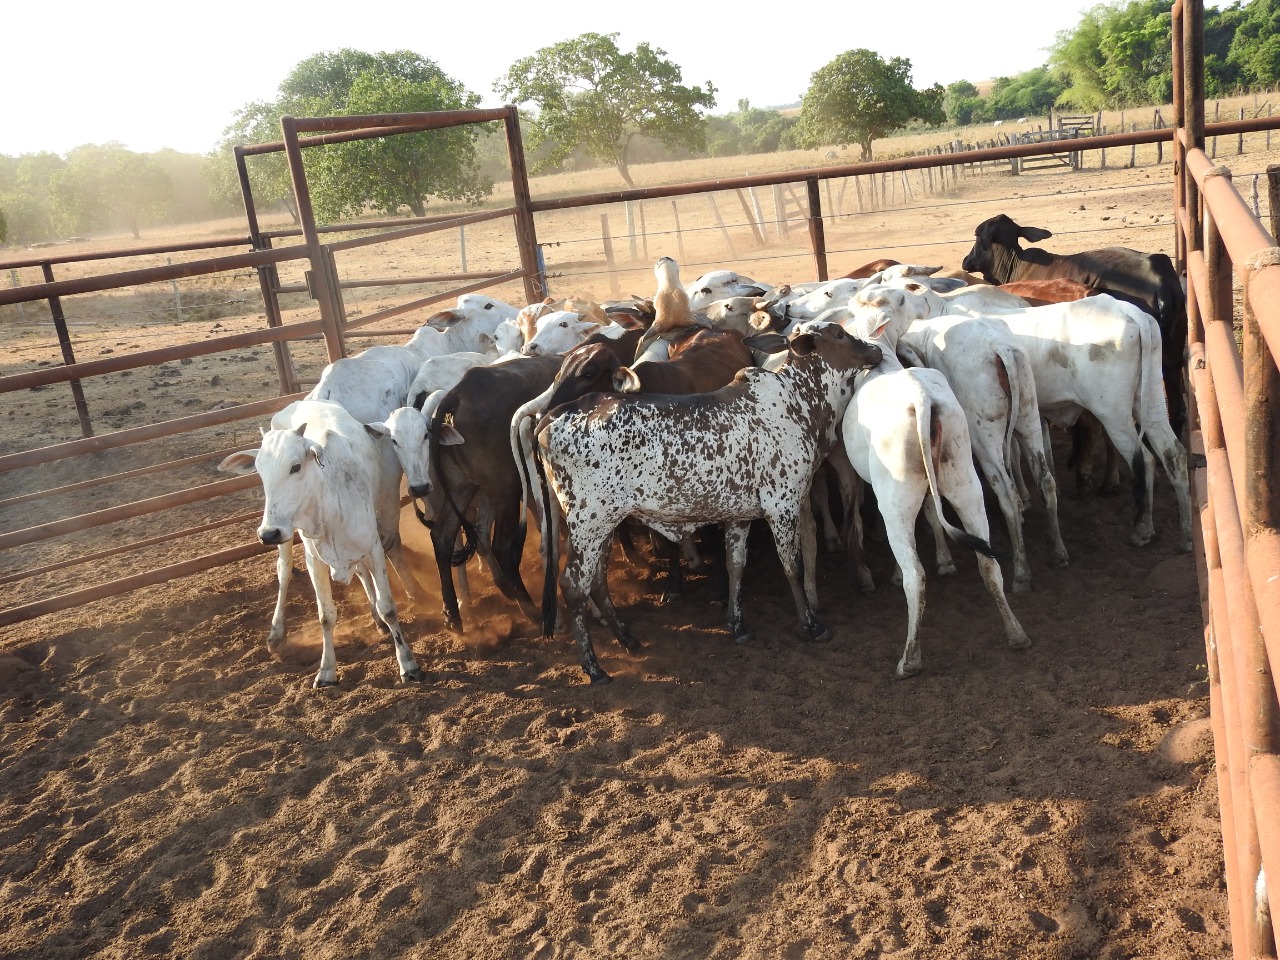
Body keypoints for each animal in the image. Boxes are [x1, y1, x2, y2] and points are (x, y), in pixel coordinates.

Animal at [215, 401, 424, 686]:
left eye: (295, 466)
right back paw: (276, 633)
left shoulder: (373, 548)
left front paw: (408, 664)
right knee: (284, 571)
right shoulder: (314, 560)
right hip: (288, 538)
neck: (330, 505)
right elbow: (326, 616)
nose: (268, 533)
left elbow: (388, 608)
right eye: (260, 471)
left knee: (362, 573)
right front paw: (326, 671)